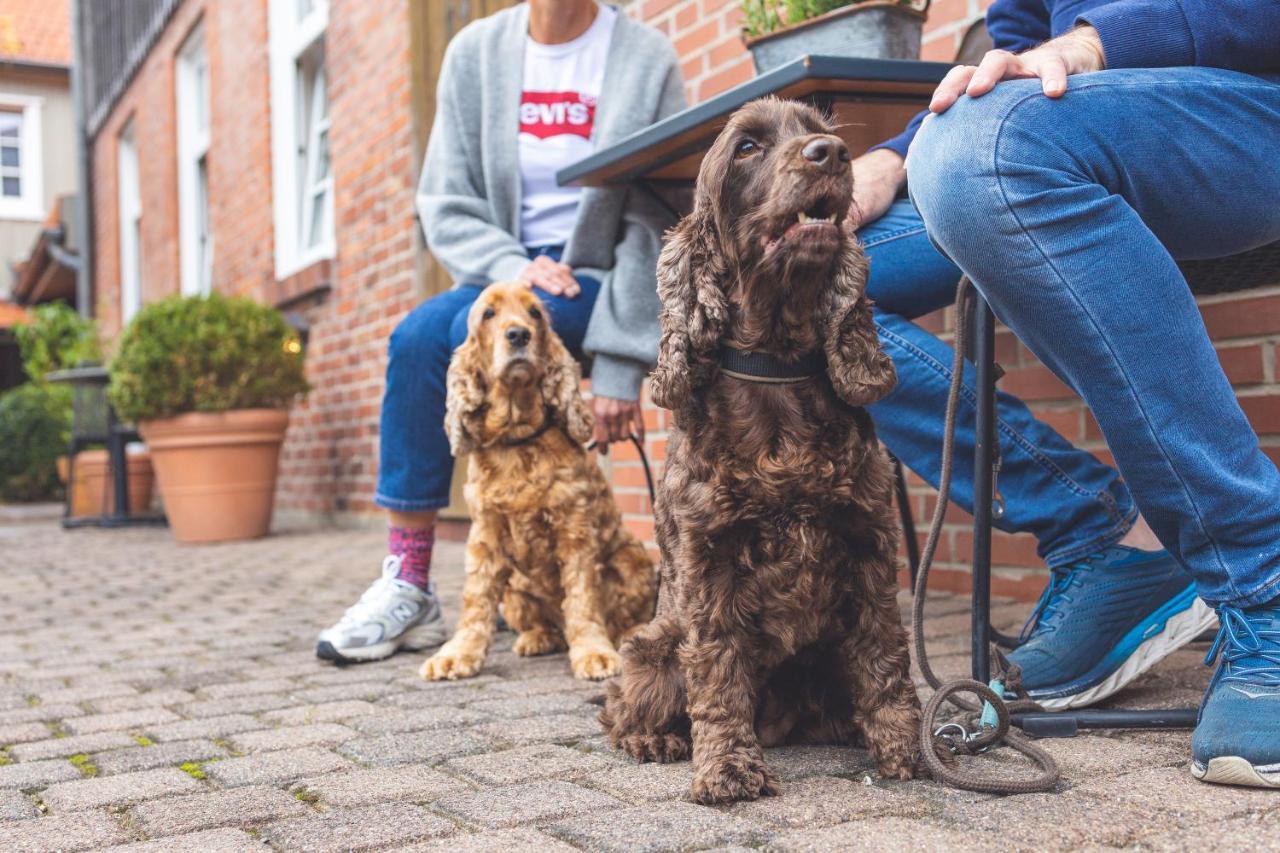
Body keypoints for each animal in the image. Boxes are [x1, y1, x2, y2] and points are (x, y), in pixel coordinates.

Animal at [422, 281, 660, 681]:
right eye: (488, 314)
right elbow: (476, 599)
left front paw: (594, 653)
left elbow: (582, 598)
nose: (518, 334)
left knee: (620, 617)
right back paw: (537, 638)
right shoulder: (485, 536)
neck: (518, 436)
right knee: (544, 623)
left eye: (535, 313)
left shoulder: (575, 531)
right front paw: (457, 653)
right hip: (515, 590)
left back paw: (630, 634)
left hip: (634, 562)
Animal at [599, 99, 921, 799]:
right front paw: (727, 767)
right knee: (622, 704)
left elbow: (885, 656)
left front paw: (907, 749)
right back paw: (655, 739)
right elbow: (717, 670)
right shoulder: (708, 564)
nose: (832, 154)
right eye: (747, 148)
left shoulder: (870, 543)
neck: (776, 363)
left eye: (816, 132)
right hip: (651, 642)